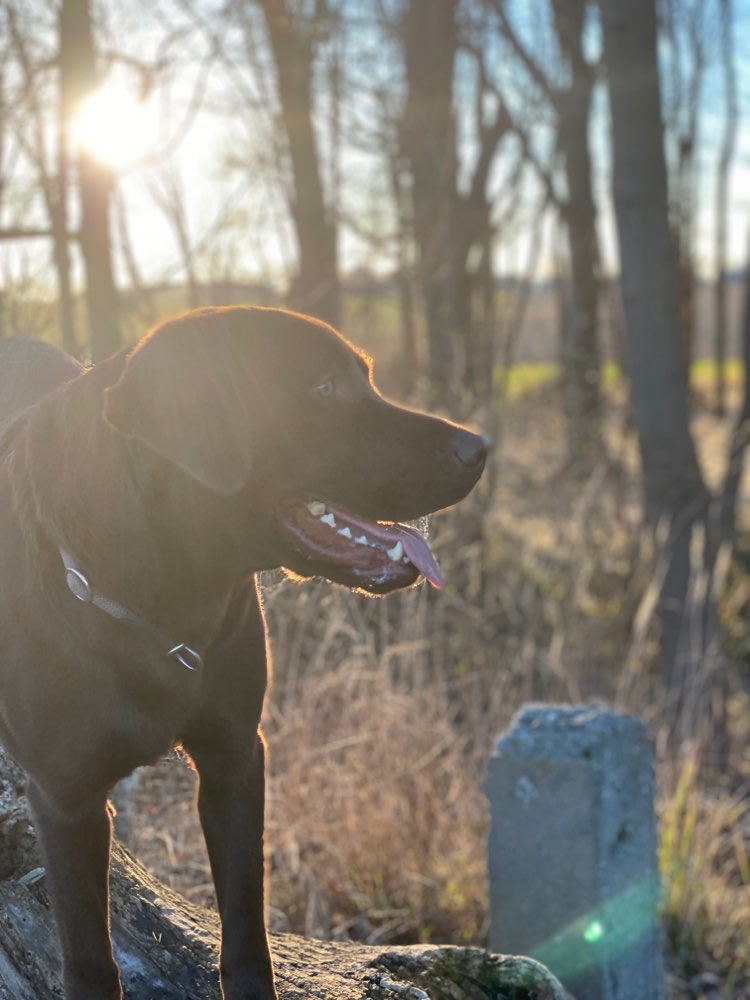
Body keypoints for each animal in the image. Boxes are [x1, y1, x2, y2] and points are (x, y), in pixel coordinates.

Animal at [0, 308, 488, 996]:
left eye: (364, 378)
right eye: (325, 389)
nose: (479, 449)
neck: (165, 598)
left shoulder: (234, 754)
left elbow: (246, 923)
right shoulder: (67, 800)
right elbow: (90, 960)